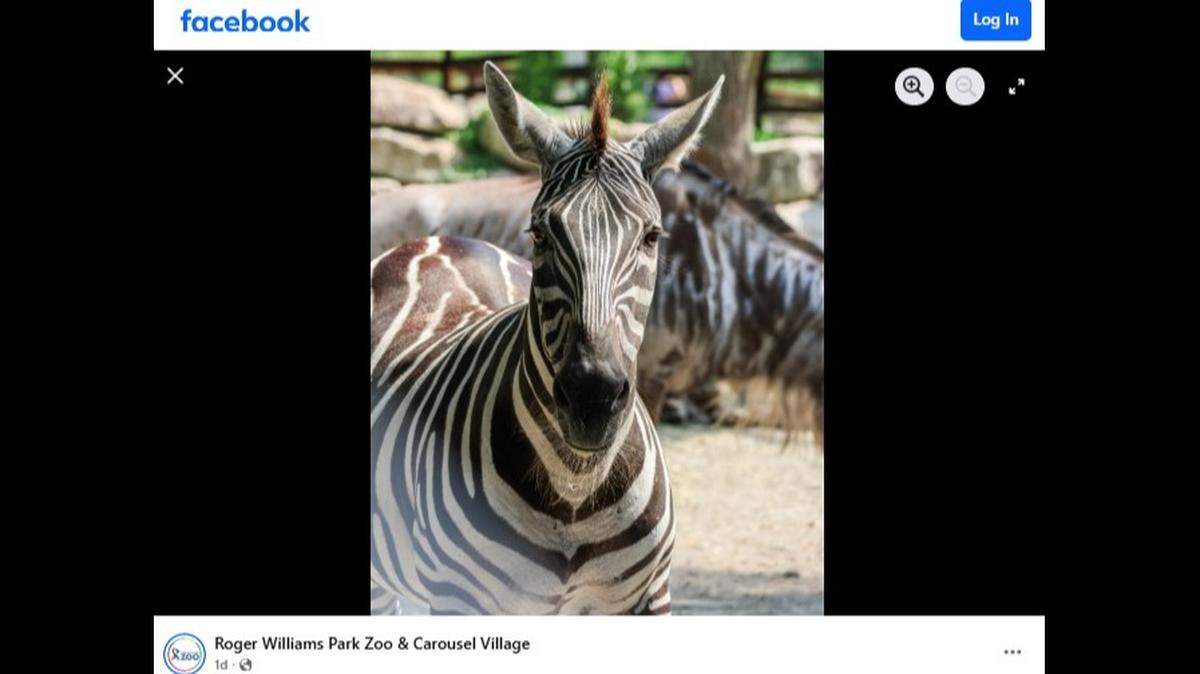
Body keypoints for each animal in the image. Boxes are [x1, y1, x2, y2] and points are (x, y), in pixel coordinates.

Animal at [371, 62, 723, 615]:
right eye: (539, 233)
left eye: (652, 237)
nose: (592, 398)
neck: (576, 485)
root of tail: (437, 240)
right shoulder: (460, 600)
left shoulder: (652, 596)